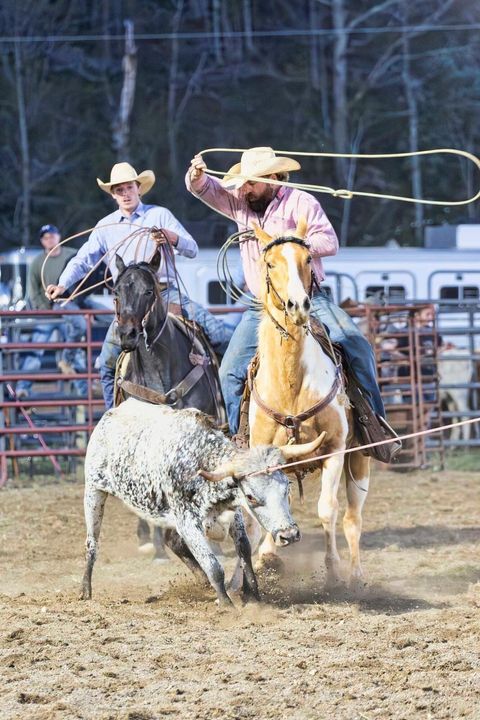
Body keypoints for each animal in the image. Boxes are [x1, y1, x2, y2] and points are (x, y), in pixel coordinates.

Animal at [249, 221, 370, 592]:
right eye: (270, 262)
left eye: (307, 258)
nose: (298, 305)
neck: (290, 385)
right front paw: (265, 557)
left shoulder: (334, 450)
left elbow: (327, 510)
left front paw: (333, 570)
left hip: (359, 460)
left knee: (352, 518)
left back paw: (355, 574)